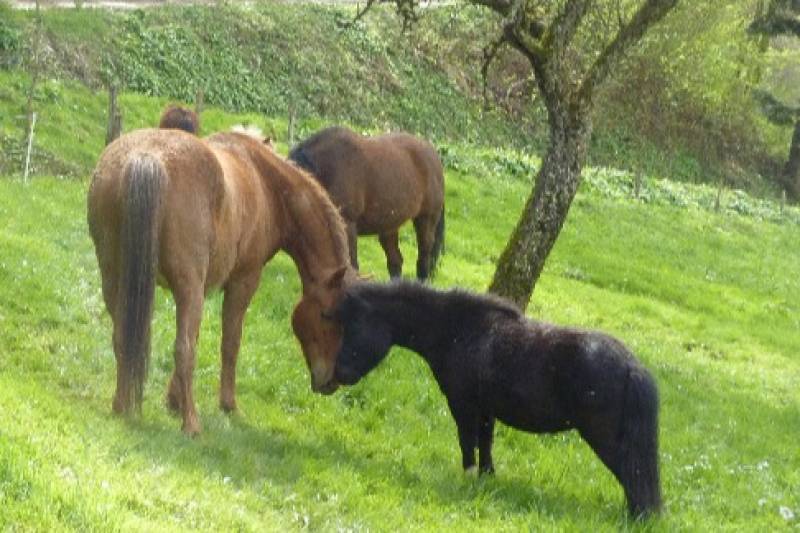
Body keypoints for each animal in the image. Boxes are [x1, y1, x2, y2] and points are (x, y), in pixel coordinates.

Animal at [85, 128, 356, 432]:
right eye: (328, 316)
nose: (329, 381)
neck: (266, 183)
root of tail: (146, 157)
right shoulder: (242, 282)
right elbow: (230, 343)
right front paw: (228, 405)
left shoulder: (202, 289)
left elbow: (198, 335)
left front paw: (173, 400)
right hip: (187, 287)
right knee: (184, 349)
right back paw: (191, 424)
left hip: (116, 279)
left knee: (122, 336)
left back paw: (122, 406)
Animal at [290, 127, 446, 280]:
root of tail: (433, 154)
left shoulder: (348, 226)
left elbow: (352, 265)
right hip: (389, 226)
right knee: (395, 261)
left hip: (426, 219)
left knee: (424, 259)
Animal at [332, 280, 664, 516]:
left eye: (354, 326)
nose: (338, 374)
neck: (458, 331)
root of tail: (632, 365)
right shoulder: (485, 410)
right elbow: (486, 446)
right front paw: (485, 480)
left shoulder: (463, 406)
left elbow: (468, 443)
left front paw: (467, 480)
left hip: (604, 438)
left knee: (633, 475)